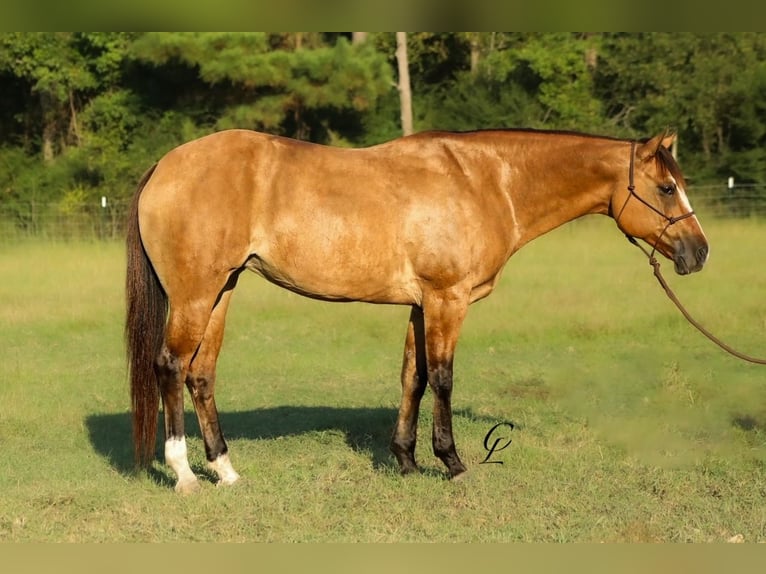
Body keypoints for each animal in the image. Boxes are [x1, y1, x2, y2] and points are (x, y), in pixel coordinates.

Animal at [124, 128, 708, 492]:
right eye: (666, 187)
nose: (699, 252)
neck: (485, 181)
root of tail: (164, 165)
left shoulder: (421, 304)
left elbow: (414, 376)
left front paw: (405, 460)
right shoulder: (448, 299)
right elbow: (444, 378)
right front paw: (452, 462)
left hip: (221, 291)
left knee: (201, 374)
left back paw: (225, 470)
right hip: (195, 295)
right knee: (170, 367)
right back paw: (184, 475)